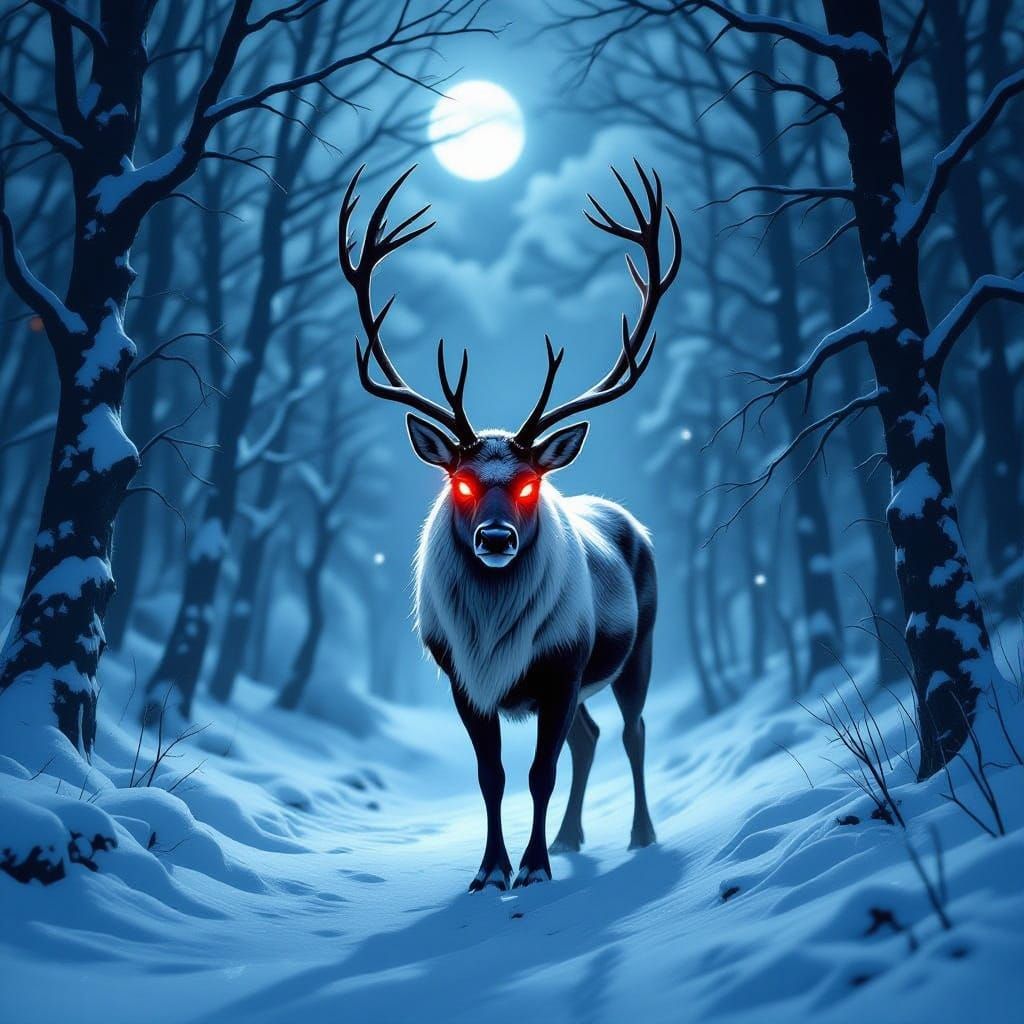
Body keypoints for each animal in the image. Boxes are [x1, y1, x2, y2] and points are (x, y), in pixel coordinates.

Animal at [337, 161, 681, 890]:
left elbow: (538, 772)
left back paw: (639, 834)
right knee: (591, 737)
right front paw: (491, 870)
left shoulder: (563, 662)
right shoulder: (462, 677)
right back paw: (575, 836)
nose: (495, 539)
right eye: (462, 480)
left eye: (528, 481)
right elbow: (491, 776)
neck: (493, 640)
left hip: (636, 649)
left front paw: (533, 867)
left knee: (631, 732)